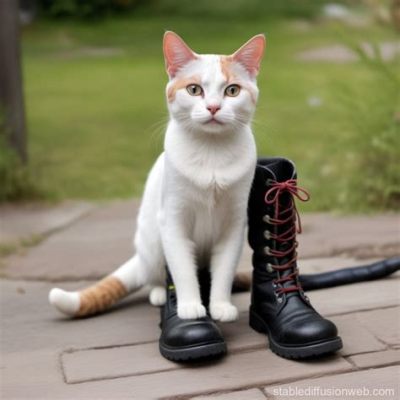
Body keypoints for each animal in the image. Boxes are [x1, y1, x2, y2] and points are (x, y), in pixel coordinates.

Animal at [48, 31, 264, 324]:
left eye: (232, 90)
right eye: (194, 89)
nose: (213, 107)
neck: (211, 154)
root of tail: (139, 256)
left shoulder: (233, 224)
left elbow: (224, 269)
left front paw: (220, 305)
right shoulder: (172, 220)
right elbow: (182, 270)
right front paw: (189, 306)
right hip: (151, 241)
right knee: (154, 276)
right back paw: (159, 293)